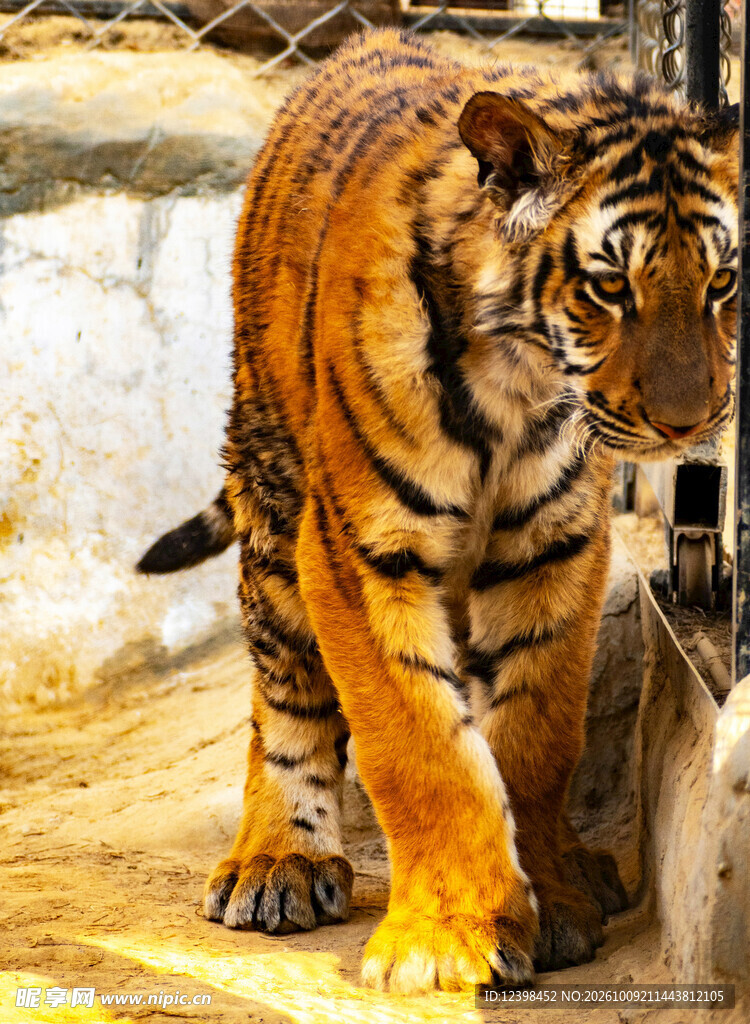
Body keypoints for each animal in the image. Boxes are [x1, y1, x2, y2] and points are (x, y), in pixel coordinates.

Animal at [137, 29, 739, 993]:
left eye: (721, 281)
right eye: (610, 288)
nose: (692, 422)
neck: (518, 388)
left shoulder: (554, 545)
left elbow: (533, 733)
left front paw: (554, 901)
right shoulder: (357, 548)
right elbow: (420, 744)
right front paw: (448, 940)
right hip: (272, 492)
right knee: (283, 690)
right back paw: (277, 863)